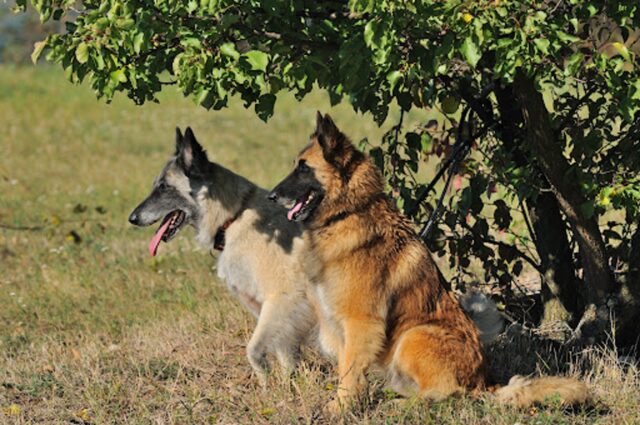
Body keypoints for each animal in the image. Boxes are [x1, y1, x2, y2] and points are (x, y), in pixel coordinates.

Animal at [268, 111, 592, 410]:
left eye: (303, 168)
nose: (271, 196)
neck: (348, 213)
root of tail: (483, 382)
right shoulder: (337, 324)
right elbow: (347, 371)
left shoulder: (361, 323)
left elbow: (349, 373)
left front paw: (341, 408)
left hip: (414, 335)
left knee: (447, 393)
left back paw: (404, 404)